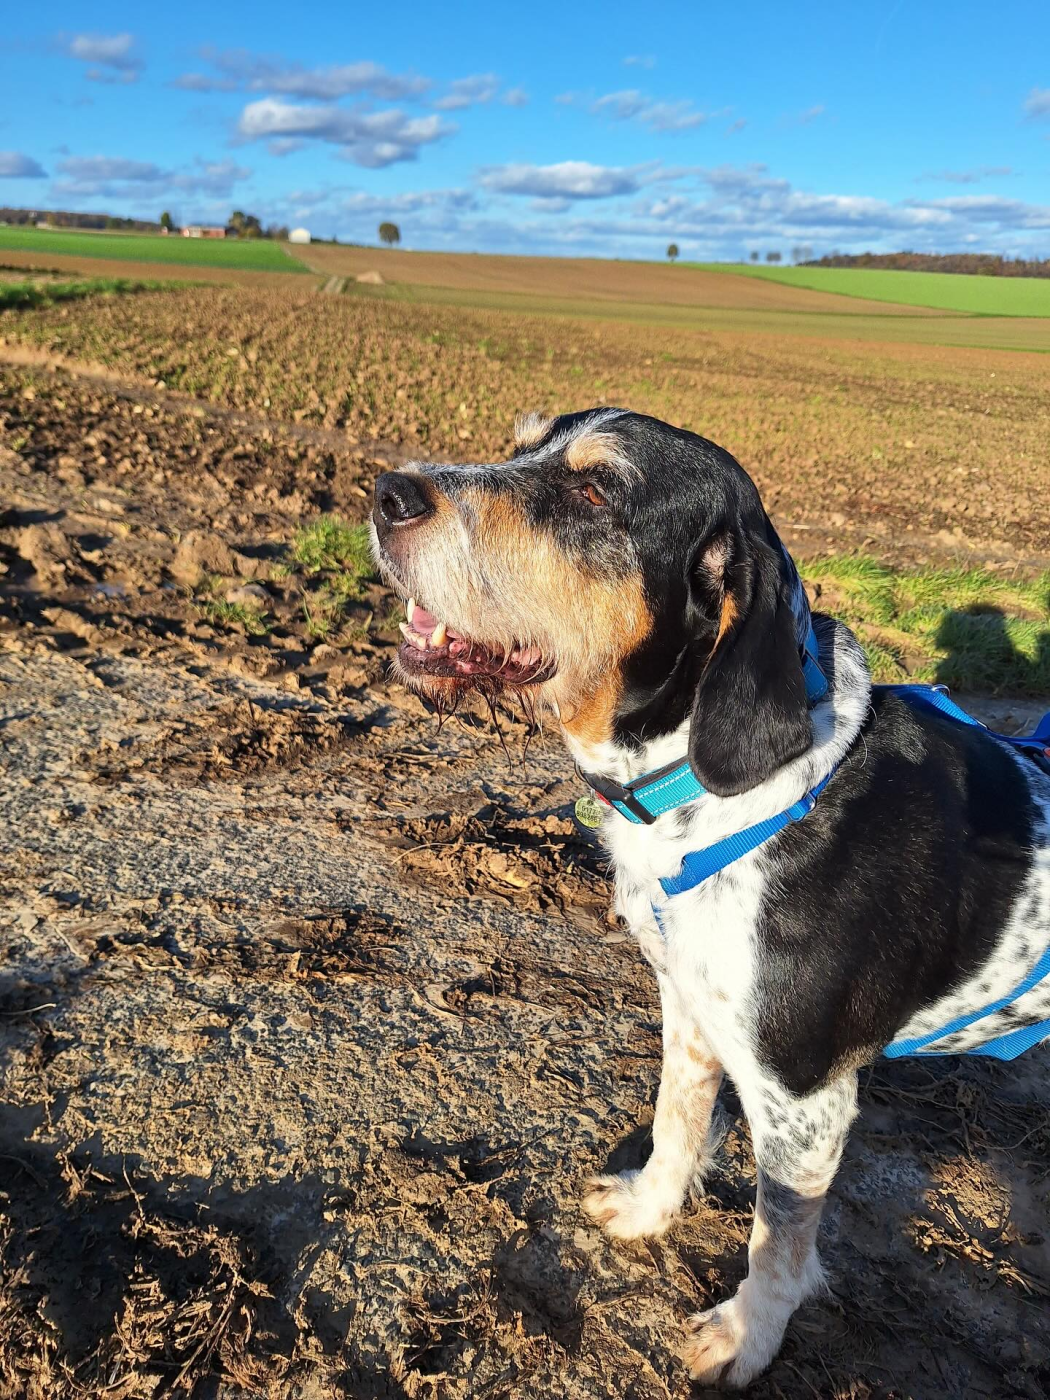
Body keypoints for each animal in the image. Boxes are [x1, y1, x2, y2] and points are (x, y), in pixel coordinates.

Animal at [370, 407, 1050, 1388]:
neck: (713, 785)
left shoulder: (806, 1100)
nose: (385, 491)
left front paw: (744, 1339)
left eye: (594, 491)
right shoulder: (688, 1005)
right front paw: (650, 1211)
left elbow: (778, 1243)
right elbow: (676, 1119)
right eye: (519, 445)